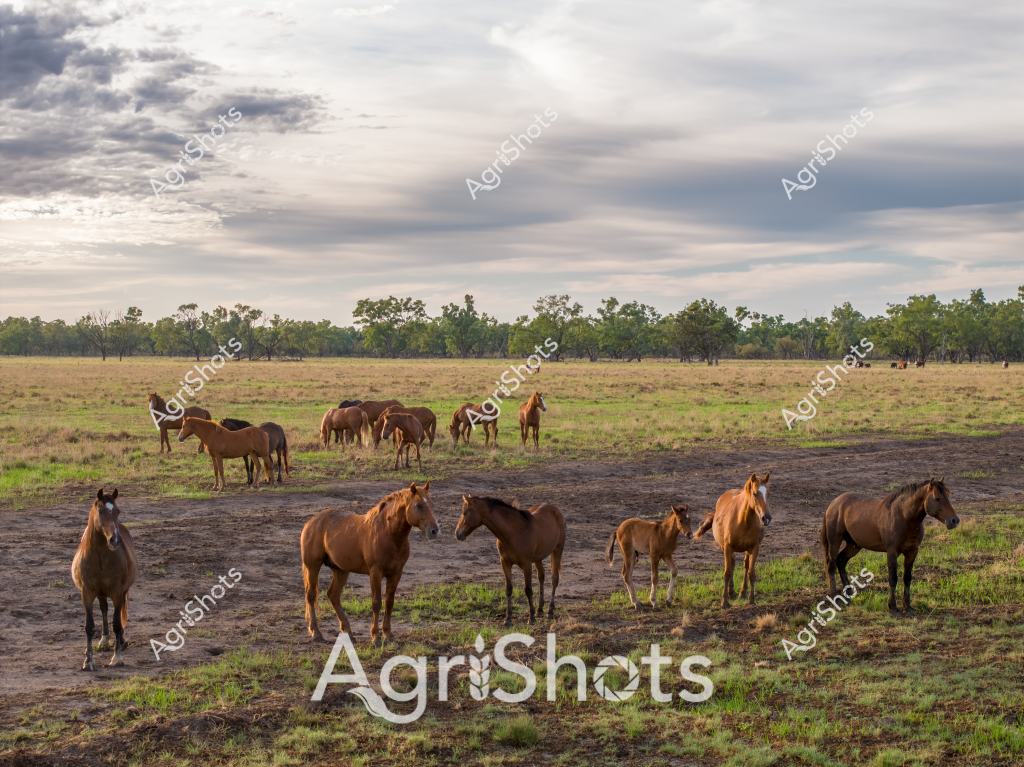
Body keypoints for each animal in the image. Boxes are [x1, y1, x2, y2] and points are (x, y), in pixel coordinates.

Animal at [71, 488, 137, 670]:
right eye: (101, 511)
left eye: (118, 511)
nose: (115, 539)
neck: (100, 555)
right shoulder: (87, 593)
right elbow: (89, 626)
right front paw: (88, 661)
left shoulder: (117, 592)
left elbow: (117, 623)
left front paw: (117, 658)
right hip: (100, 593)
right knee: (104, 609)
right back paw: (104, 641)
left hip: (122, 592)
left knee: (117, 617)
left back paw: (120, 642)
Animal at [300, 482, 439, 645]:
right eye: (419, 505)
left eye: (431, 504)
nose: (435, 530)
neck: (387, 533)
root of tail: (312, 522)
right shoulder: (375, 573)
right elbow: (376, 603)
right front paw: (376, 637)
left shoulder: (396, 573)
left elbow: (389, 602)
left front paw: (388, 634)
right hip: (312, 567)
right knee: (311, 595)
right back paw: (316, 632)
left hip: (341, 570)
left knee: (333, 595)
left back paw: (347, 631)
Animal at [455, 494, 565, 625]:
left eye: (465, 512)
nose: (457, 533)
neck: (513, 533)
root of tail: (555, 509)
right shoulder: (505, 563)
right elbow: (508, 589)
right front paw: (508, 619)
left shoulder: (526, 564)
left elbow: (528, 589)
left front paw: (531, 618)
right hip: (538, 558)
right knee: (541, 577)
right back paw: (539, 610)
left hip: (557, 550)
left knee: (554, 579)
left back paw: (550, 611)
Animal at [695, 473, 771, 608]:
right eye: (755, 493)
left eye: (768, 493)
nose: (766, 518)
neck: (743, 520)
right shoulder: (728, 547)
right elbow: (727, 573)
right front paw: (724, 602)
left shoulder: (755, 548)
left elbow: (751, 573)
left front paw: (751, 600)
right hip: (724, 547)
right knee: (732, 563)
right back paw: (731, 592)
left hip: (747, 549)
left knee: (745, 564)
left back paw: (742, 592)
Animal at [820, 477, 958, 617]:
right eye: (937, 498)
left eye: (948, 497)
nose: (955, 520)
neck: (904, 517)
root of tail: (834, 502)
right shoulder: (892, 552)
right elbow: (893, 579)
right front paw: (893, 608)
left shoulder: (912, 551)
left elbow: (907, 579)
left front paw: (908, 608)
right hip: (835, 541)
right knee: (831, 565)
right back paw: (834, 596)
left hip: (854, 545)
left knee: (841, 561)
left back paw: (848, 594)